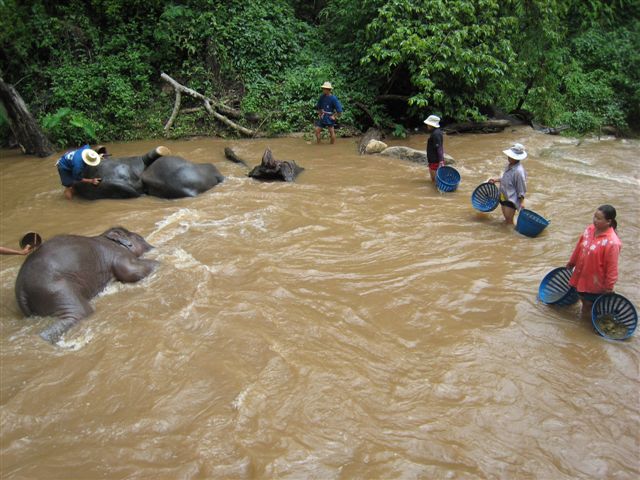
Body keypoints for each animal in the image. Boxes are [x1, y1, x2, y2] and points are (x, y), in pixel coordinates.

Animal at [15, 227, 158, 344]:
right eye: (140, 238)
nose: (154, 247)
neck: (106, 236)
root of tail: (21, 288)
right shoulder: (117, 252)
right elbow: (131, 271)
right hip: (56, 288)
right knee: (81, 312)